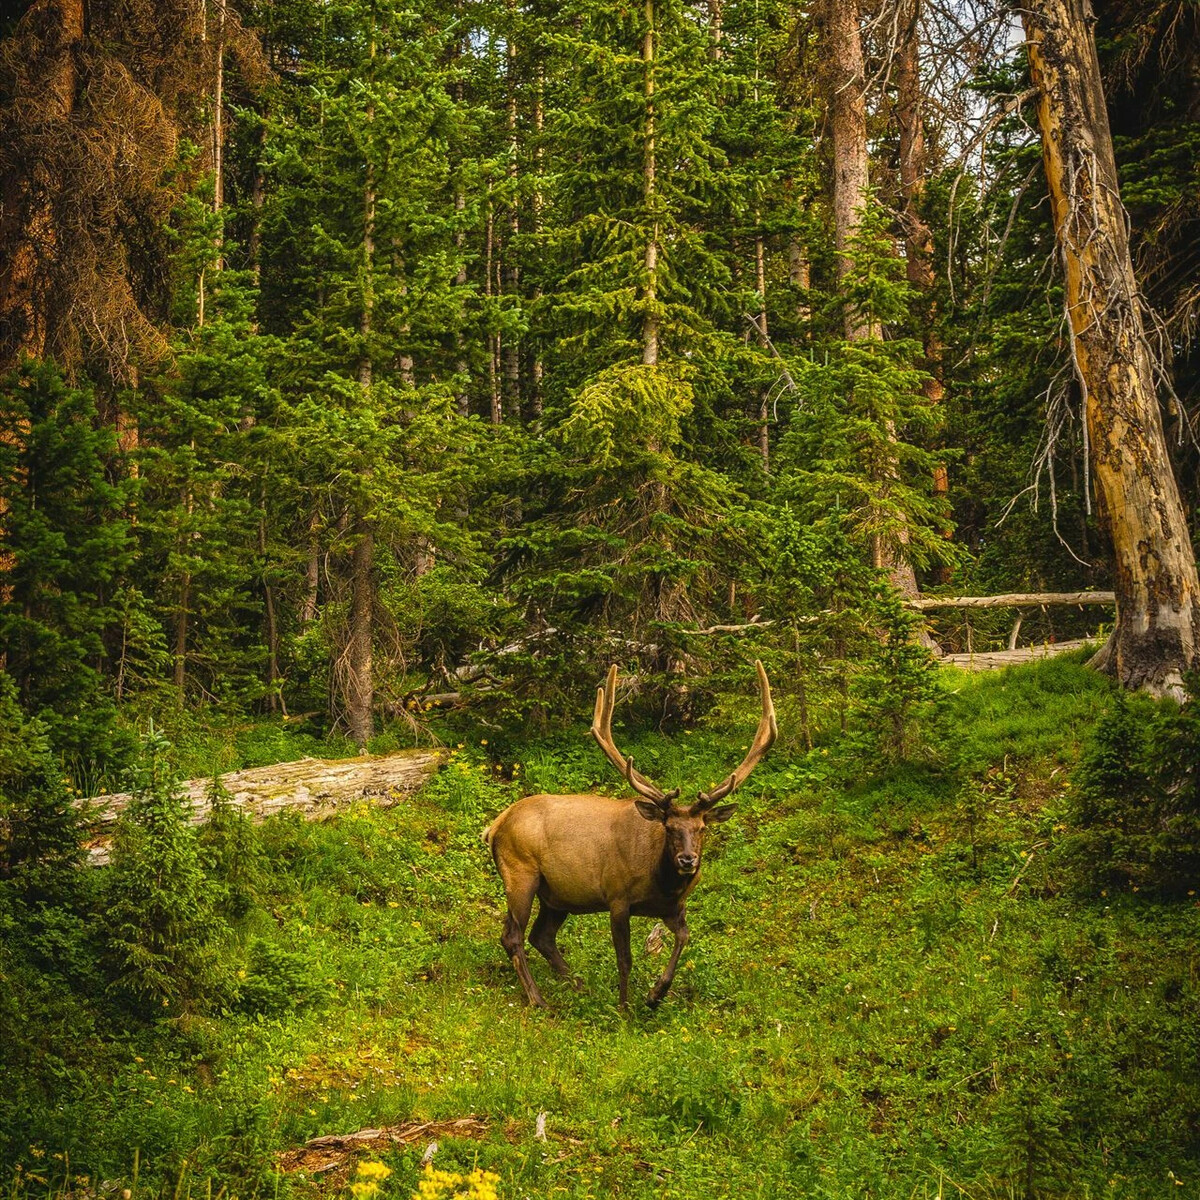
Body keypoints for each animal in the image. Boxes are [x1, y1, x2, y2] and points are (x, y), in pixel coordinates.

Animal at [484, 662, 777, 1008]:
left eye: (702, 829)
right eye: (669, 828)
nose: (687, 860)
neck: (660, 882)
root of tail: (495, 825)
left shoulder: (674, 908)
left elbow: (684, 938)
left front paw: (655, 994)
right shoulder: (617, 898)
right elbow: (624, 959)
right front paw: (625, 1007)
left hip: (556, 895)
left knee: (541, 935)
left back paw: (580, 985)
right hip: (520, 873)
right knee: (512, 935)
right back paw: (538, 998)